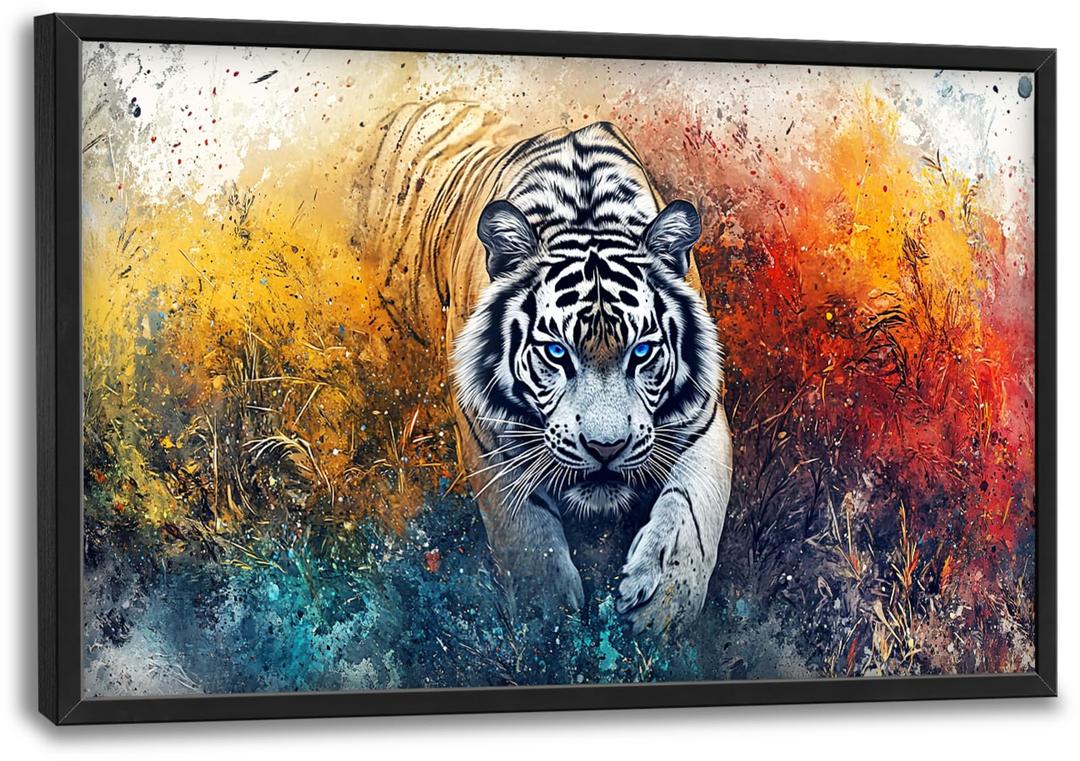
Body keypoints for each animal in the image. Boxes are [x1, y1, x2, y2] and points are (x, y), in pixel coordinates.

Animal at [357, 101, 732, 633]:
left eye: (641, 352)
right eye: (557, 353)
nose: (606, 448)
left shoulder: (704, 421)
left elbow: (692, 512)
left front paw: (662, 609)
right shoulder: (489, 438)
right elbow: (527, 538)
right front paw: (550, 629)